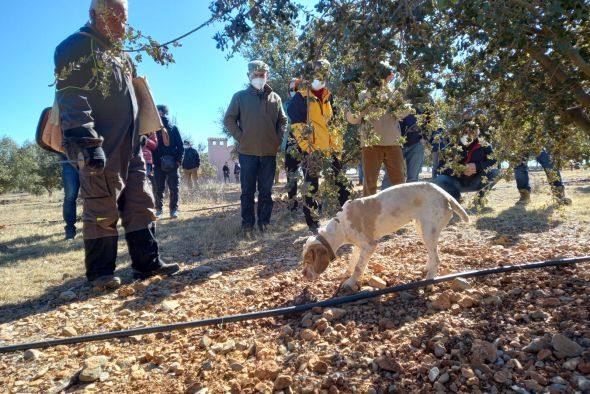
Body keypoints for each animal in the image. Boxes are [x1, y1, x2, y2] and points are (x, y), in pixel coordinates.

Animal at [302, 182, 470, 290]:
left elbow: (358, 267)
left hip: (429, 231)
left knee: (436, 258)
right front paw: (347, 273)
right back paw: (426, 268)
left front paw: (349, 283)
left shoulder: (370, 245)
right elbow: (353, 261)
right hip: (422, 229)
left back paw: (428, 281)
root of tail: (446, 195)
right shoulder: (359, 245)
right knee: (432, 254)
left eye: (309, 260)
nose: (303, 274)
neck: (340, 226)